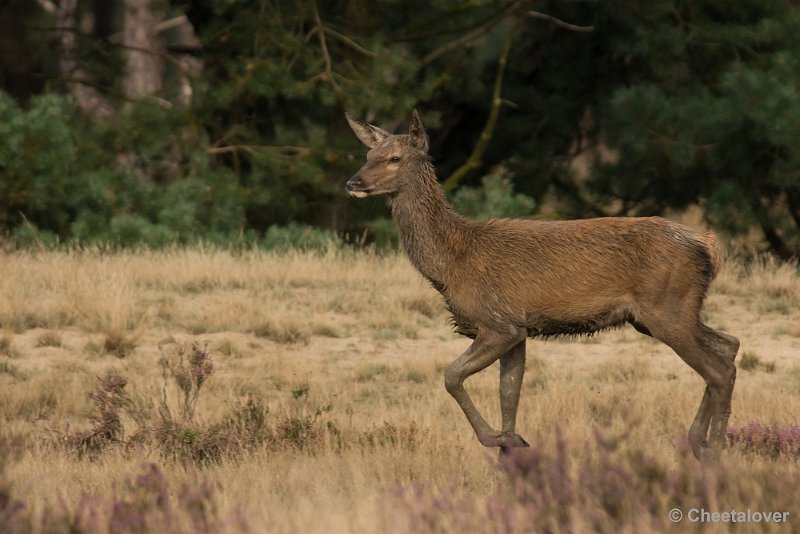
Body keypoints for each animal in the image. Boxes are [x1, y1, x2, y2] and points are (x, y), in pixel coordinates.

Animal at [342, 111, 736, 462]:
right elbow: (509, 393)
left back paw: (714, 451)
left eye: (395, 158)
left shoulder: (496, 322)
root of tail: (708, 245)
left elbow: (451, 376)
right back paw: (699, 441)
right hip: (664, 314)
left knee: (717, 370)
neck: (452, 263)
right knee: (729, 347)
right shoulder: (518, 328)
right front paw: (510, 447)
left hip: (667, 308)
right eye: (368, 156)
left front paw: (494, 439)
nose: (352, 183)